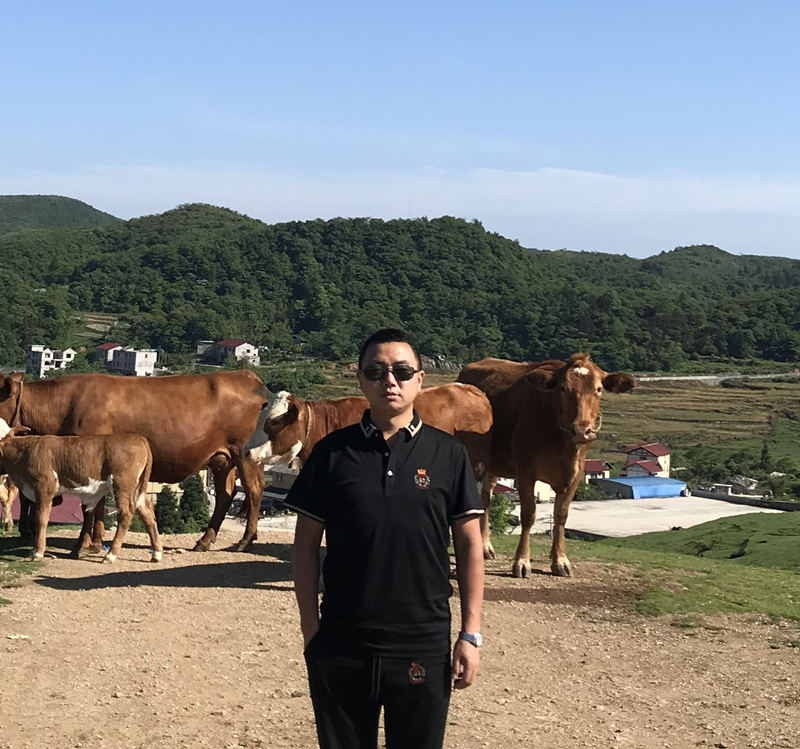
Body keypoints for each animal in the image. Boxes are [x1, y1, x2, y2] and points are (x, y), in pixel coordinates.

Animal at [0, 419, 161, 562]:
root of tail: (138, 438)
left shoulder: (44, 487)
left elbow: (41, 518)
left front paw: (38, 552)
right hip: (135, 489)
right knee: (147, 512)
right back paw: (156, 554)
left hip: (122, 485)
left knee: (126, 514)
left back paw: (110, 555)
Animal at [457, 354, 636, 578]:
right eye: (563, 388)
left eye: (598, 389)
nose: (581, 430)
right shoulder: (525, 471)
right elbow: (528, 515)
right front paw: (522, 561)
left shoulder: (576, 474)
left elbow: (561, 515)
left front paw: (560, 560)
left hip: (492, 465)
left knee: (485, 498)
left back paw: (485, 547)